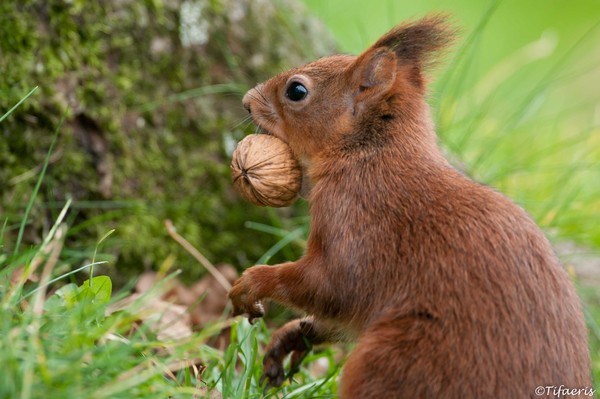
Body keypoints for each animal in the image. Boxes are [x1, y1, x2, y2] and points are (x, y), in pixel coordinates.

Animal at [229, 14, 592, 398]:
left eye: (296, 91)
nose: (246, 101)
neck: (369, 156)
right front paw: (292, 337)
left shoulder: (355, 221)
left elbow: (330, 287)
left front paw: (252, 282)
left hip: (396, 360)